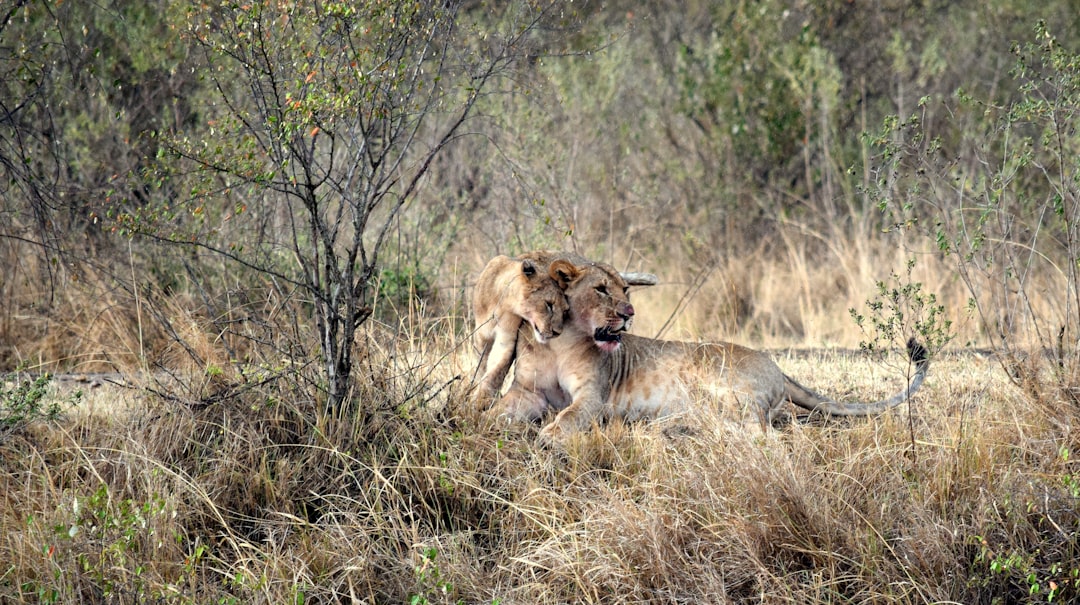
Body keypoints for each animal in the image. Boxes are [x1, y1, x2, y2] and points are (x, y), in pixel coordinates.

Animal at [490, 262, 928, 447]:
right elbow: (498, 409)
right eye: (601, 289)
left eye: (626, 290)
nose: (629, 313)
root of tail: (776, 366)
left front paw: (549, 435)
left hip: (716, 381)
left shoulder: (593, 396)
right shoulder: (528, 391)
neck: (559, 340)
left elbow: (570, 415)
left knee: (762, 433)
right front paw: (478, 420)